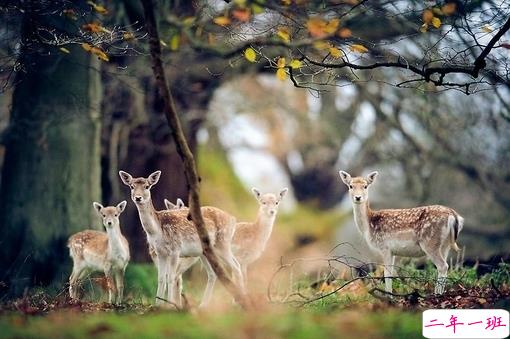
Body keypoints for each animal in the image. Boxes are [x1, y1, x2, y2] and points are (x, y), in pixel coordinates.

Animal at [118, 171, 244, 310]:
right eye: (131, 186)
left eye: (147, 186)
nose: (138, 198)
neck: (157, 230)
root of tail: (233, 219)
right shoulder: (160, 252)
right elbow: (161, 278)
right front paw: (158, 305)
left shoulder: (175, 249)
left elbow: (171, 277)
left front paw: (170, 306)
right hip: (204, 252)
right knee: (213, 273)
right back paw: (203, 306)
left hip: (222, 243)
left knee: (236, 266)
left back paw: (237, 303)